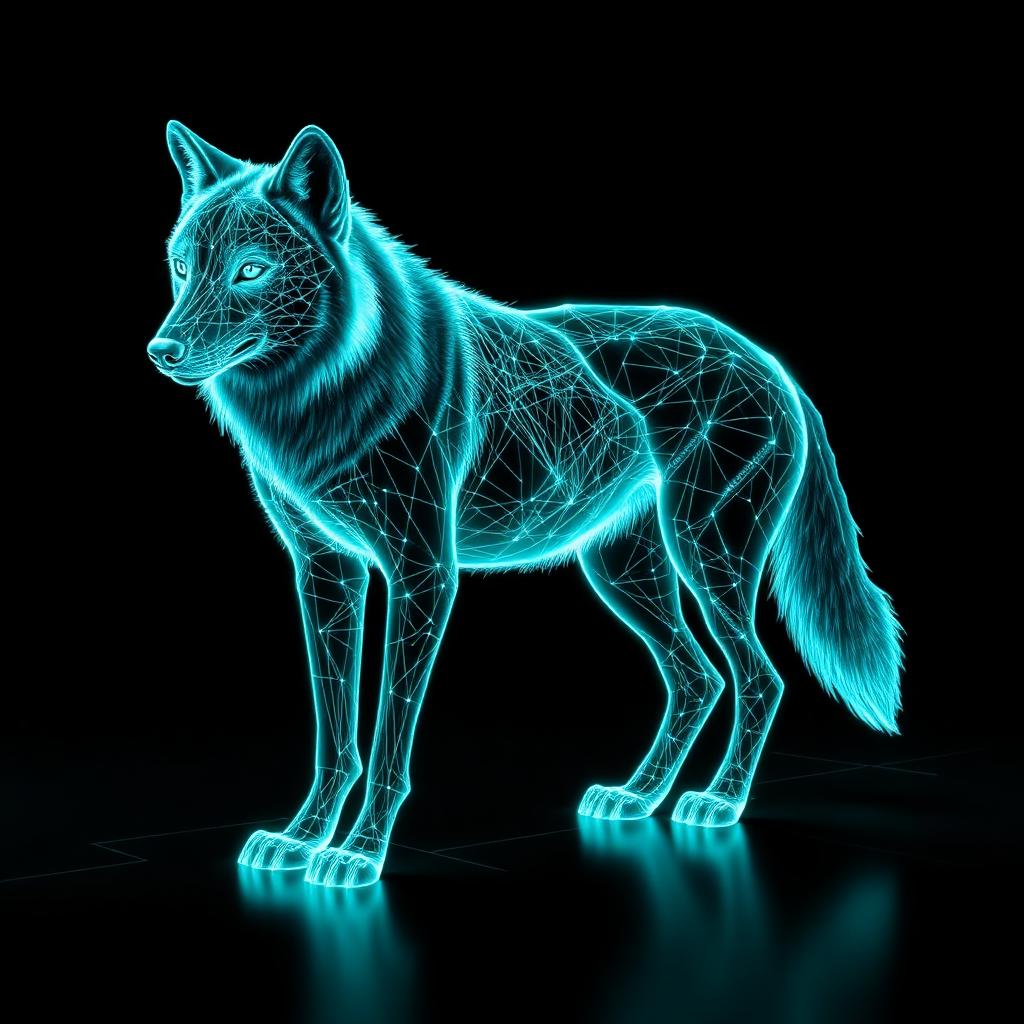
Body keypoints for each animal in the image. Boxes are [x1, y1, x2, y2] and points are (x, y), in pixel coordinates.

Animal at [149, 122, 903, 888]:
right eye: (182, 268)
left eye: (250, 271)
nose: (161, 350)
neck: (321, 399)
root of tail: (771, 360)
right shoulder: (327, 573)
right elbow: (335, 735)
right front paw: (301, 840)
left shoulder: (421, 574)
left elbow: (389, 735)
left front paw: (358, 853)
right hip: (624, 572)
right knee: (699, 678)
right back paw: (637, 796)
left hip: (702, 554)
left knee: (760, 678)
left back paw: (718, 801)